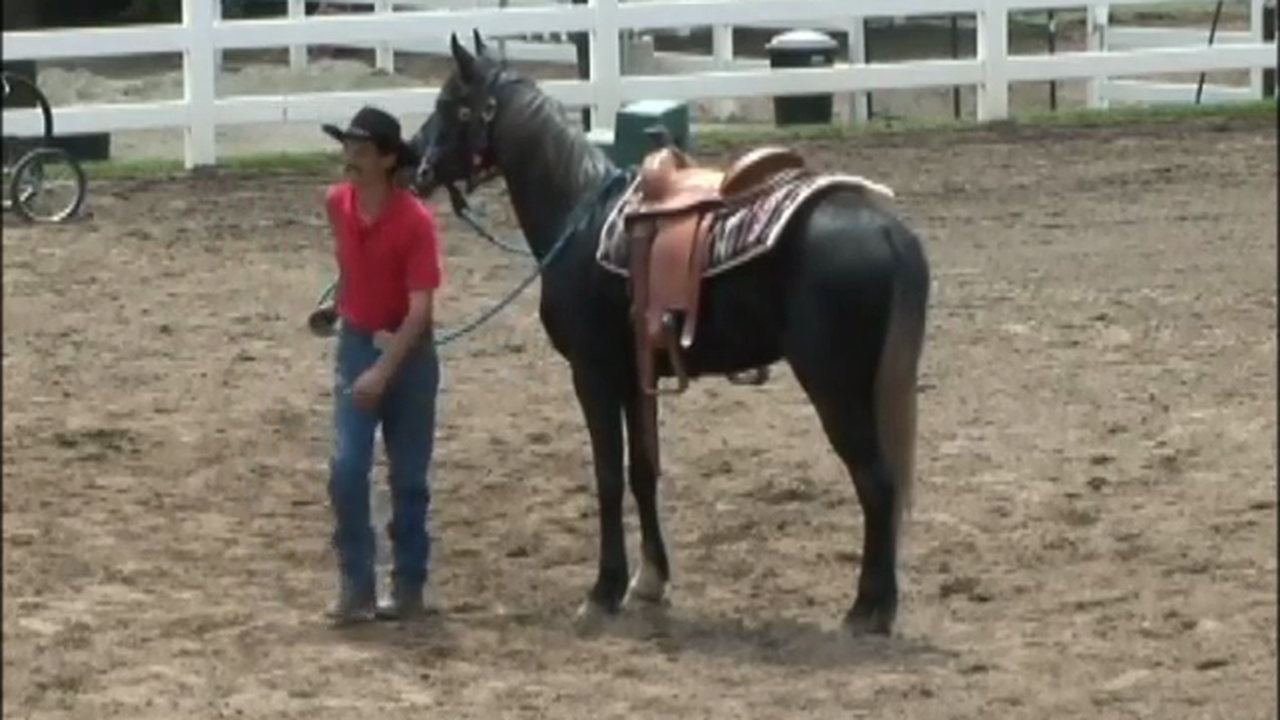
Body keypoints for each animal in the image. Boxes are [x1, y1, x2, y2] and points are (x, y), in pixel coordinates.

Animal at [412, 31, 931, 637]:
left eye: (450, 102)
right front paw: (650, 579)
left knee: (876, 481)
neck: (582, 220)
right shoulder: (637, 376)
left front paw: (604, 589)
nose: (414, 162)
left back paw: (868, 607)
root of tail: (888, 230)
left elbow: (608, 476)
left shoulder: (592, 372)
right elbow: (644, 471)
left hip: (834, 386)